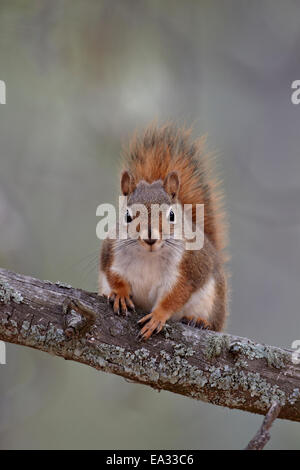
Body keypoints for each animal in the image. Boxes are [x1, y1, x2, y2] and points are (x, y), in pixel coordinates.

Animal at [98, 123, 227, 340]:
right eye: (127, 216)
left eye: (172, 215)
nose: (150, 238)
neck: (149, 257)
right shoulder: (111, 254)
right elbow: (113, 275)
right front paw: (120, 294)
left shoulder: (187, 270)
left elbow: (175, 296)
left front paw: (158, 316)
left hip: (213, 302)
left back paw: (199, 321)